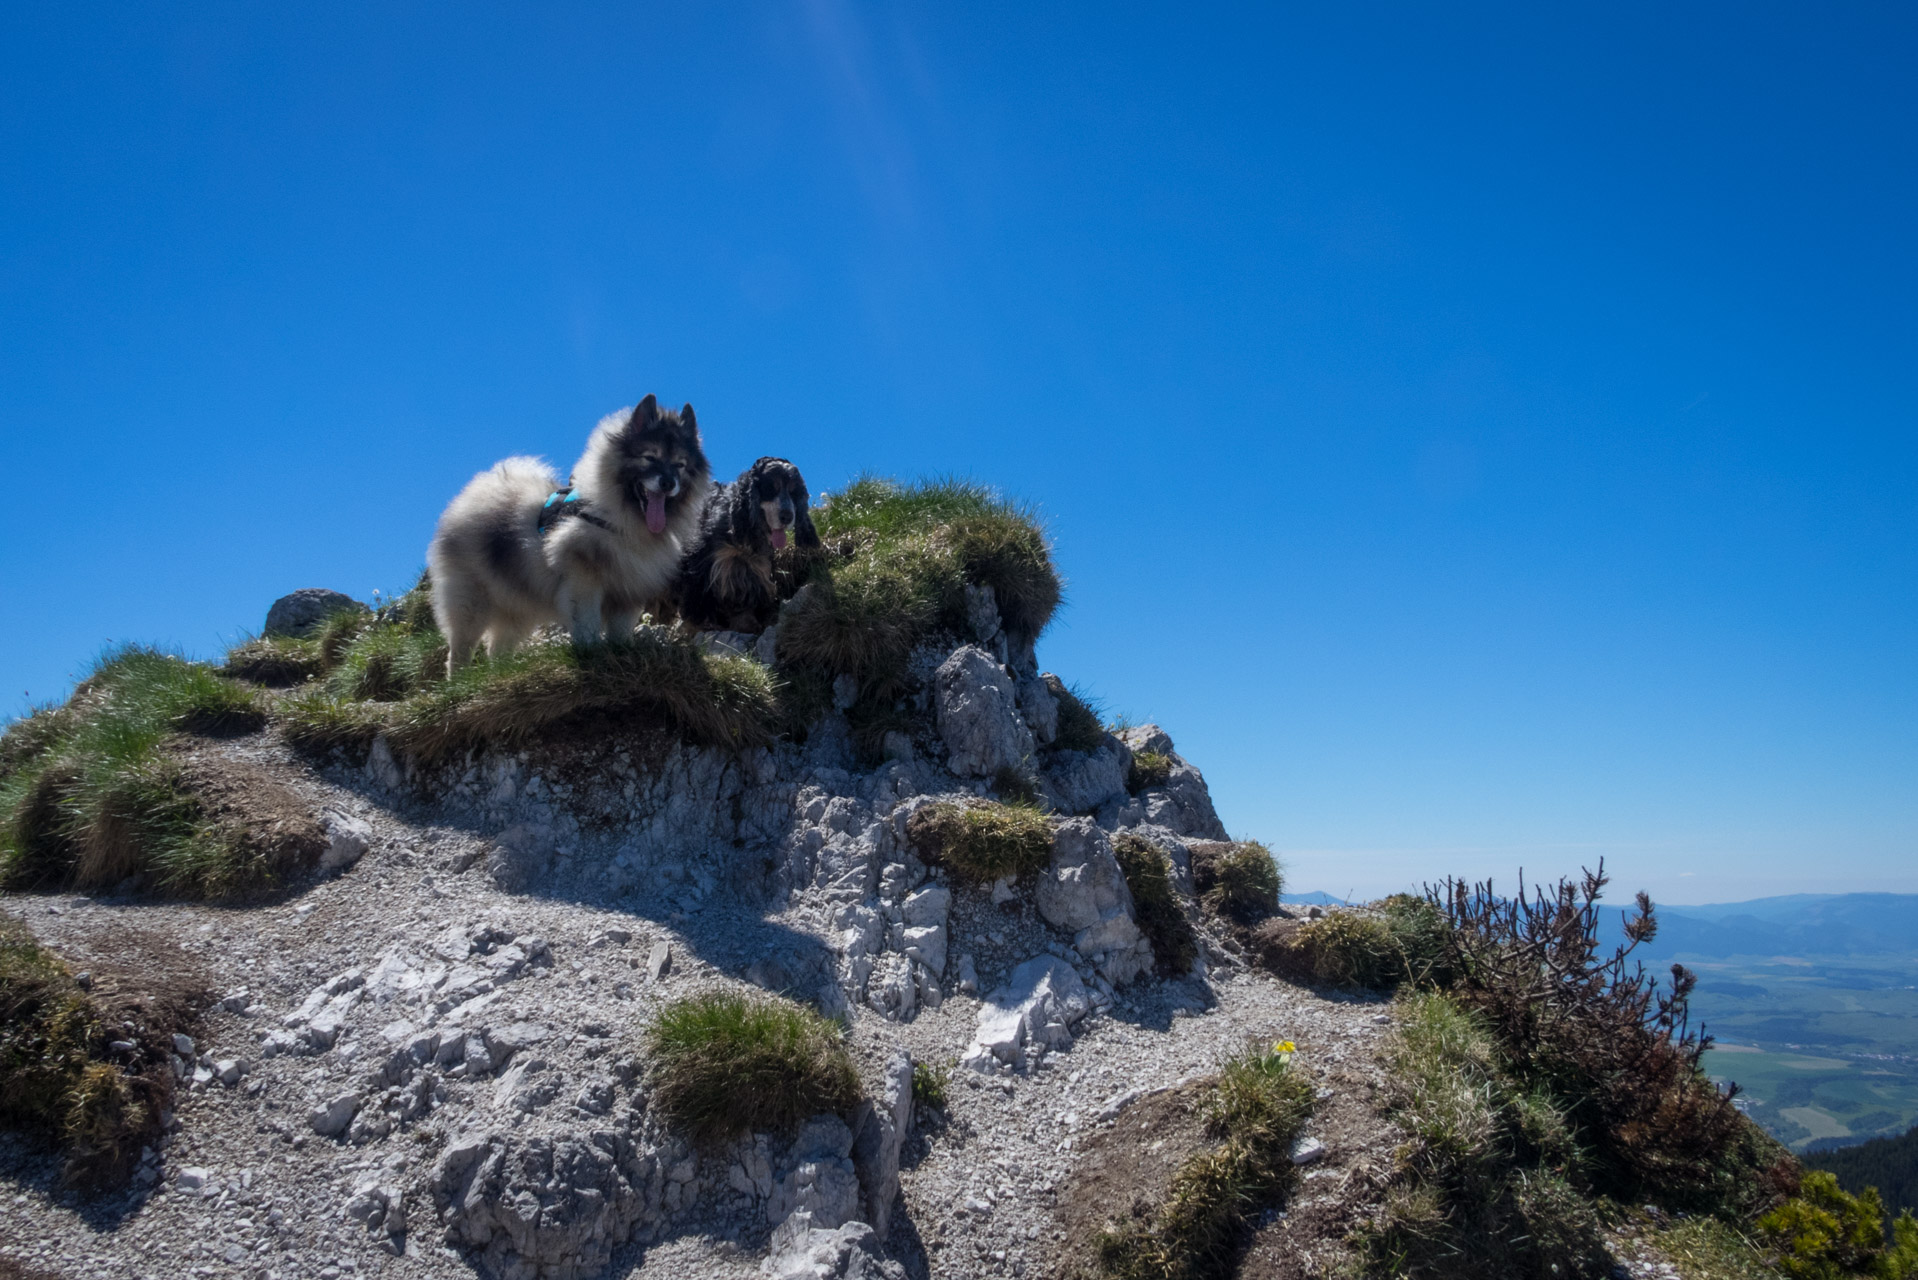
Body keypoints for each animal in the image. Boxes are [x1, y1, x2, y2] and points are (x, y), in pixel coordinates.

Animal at [427, 395, 713, 675]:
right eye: (650, 457)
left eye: (680, 465)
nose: (668, 483)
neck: (622, 525)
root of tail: (474, 493)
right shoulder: (584, 582)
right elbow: (587, 623)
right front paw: (591, 652)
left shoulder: (628, 592)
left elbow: (620, 632)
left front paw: (621, 651)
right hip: (472, 602)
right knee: (460, 651)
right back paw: (459, 682)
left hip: (518, 607)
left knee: (497, 650)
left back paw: (501, 675)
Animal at [678, 458, 820, 633]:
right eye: (771, 488)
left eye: (794, 491)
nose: (787, 516)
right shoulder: (705, 561)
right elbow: (697, 593)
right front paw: (700, 623)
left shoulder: (752, 567)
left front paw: (746, 622)